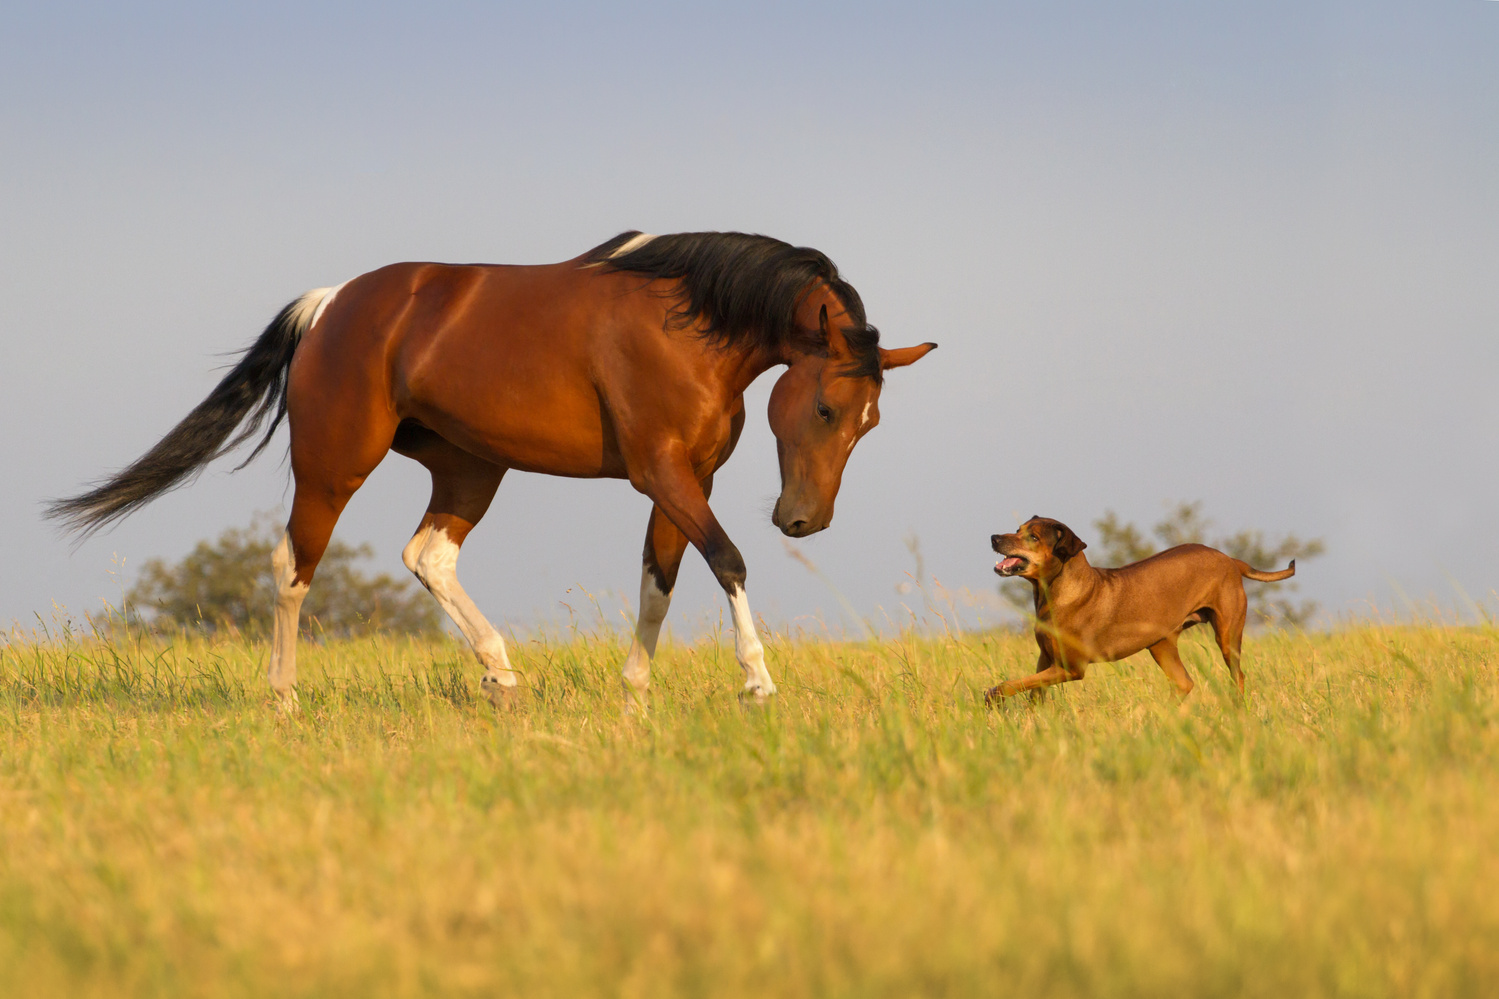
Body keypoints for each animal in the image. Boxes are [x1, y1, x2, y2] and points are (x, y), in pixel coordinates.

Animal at [49, 229, 935, 705]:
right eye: (826, 409)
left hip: (470, 469)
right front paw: (756, 682)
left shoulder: (689, 479)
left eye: (871, 421)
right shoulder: (662, 472)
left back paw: (501, 673)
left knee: (428, 556)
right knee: (291, 567)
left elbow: (660, 578)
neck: (688, 325)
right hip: (333, 466)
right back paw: (284, 698)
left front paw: (634, 696)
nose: (803, 520)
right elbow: (727, 560)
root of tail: (333, 304)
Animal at [989, 513, 1295, 699]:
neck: (1056, 592)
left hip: (1227, 635)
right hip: (1161, 643)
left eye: (1033, 538)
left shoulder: (1072, 668)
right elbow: (1032, 692)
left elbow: (1008, 685)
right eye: (1017, 530)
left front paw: (993, 698)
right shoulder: (1046, 659)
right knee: (1184, 683)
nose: (994, 537)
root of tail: (1231, 560)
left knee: (1238, 676)